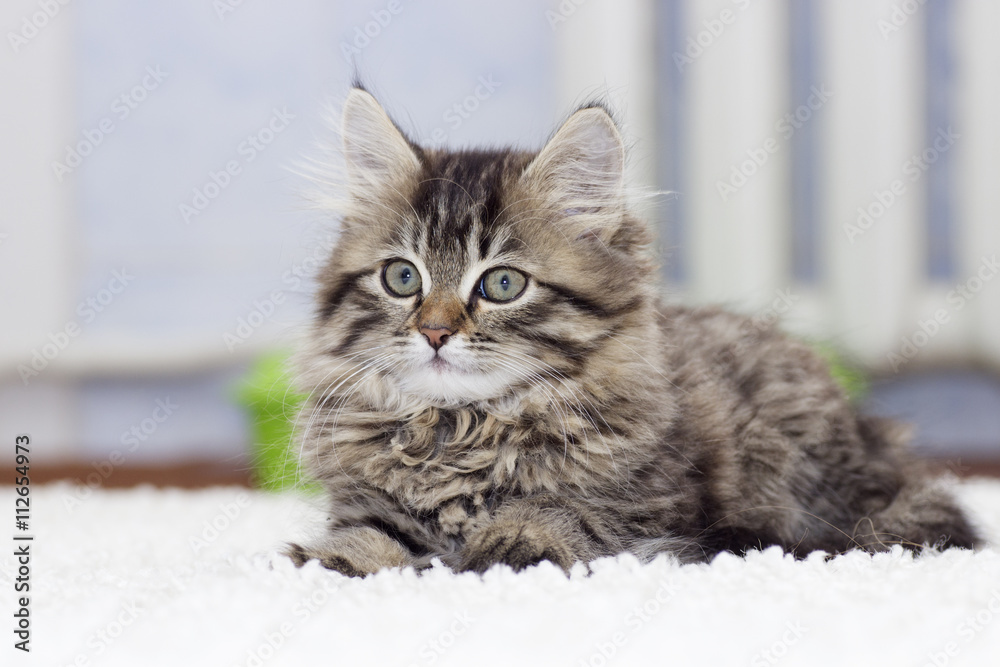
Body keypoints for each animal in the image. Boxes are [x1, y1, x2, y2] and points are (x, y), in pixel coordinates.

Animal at [286, 86, 980, 576]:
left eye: (503, 284)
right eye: (403, 278)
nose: (433, 332)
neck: (463, 430)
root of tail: (876, 437)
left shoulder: (642, 505)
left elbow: (555, 515)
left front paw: (499, 553)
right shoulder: (365, 501)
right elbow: (366, 538)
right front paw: (327, 564)